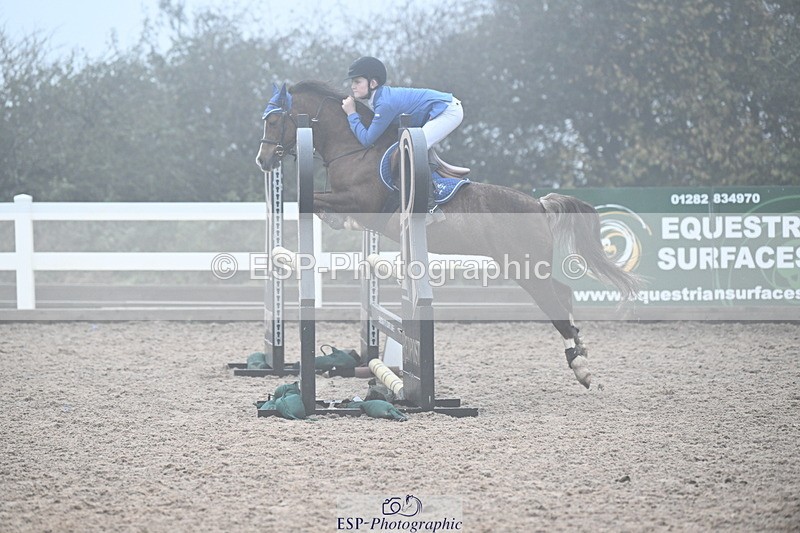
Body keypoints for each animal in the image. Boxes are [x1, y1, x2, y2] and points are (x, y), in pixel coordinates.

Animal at [256, 81, 639, 389]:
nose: (263, 160)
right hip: (529, 265)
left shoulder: (361, 200)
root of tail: (540, 205)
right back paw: (579, 352)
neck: (354, 148)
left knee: (554, 302)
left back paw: (581, 367)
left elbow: (309, 201)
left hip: (525, 266)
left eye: (273, 121)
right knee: (563, 292)